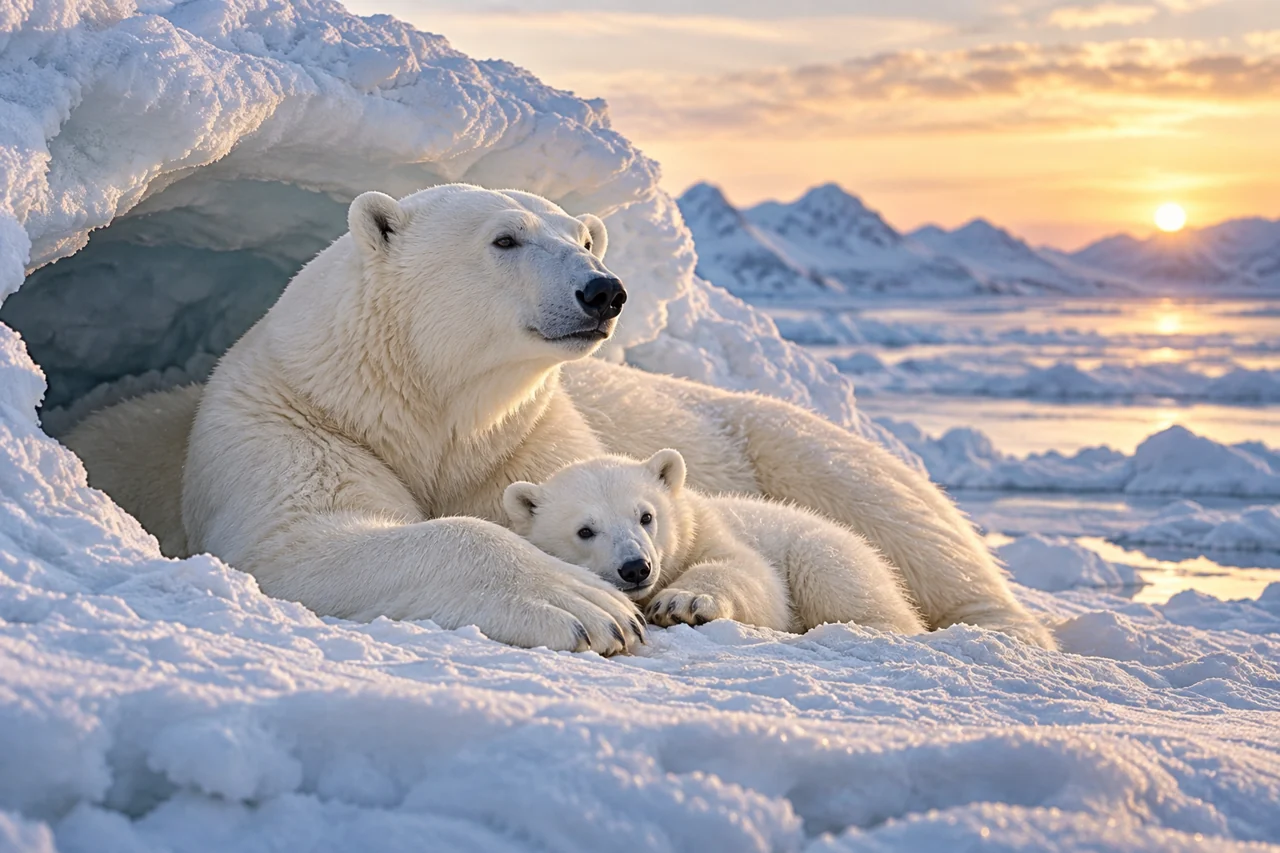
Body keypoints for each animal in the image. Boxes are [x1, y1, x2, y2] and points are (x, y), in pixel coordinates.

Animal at [503, 450, 928, 636]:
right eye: (585, 530)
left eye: (646, 516)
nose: (636, 567)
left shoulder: (707, 531)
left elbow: (749, 572)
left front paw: (680, 603)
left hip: (826, 549)